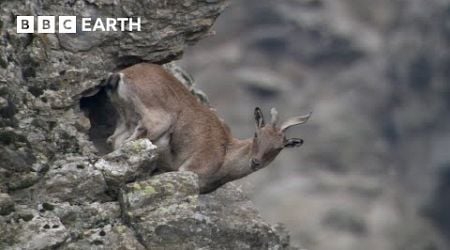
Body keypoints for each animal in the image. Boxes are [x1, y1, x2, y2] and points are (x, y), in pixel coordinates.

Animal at [104, 63, 312, 193]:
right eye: (256, 134)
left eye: (280, 147)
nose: (255, 162)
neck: (225, 154)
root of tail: (122, 75)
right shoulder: (190, 168)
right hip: (155, 121)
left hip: (126, 117)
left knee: (116, 139)